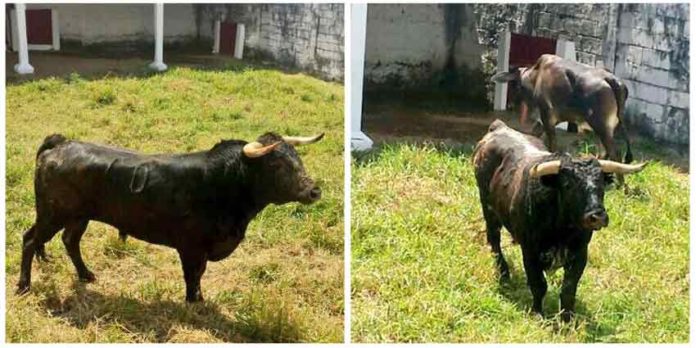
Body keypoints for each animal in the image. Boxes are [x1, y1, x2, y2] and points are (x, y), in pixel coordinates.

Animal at [17, 132, 324, 300]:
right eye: (276, 164)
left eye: (297, 157)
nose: (314, 191)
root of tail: (61, 143)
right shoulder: (191, 247)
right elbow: (193, 275)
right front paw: (195, 301)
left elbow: (198, 273)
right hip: (52, 214)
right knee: (30, 240)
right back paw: (24, 286)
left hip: (78, 216)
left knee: (70, 241)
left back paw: (86, 275)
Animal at [474, 119, 648, 320]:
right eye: (567, 184)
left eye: (601, 184)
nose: (597, 217)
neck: (562, 230)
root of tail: (499, 127)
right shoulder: (530, 252)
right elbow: (538, 285)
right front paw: (538, 314)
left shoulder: (580, 253)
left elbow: (568, 289)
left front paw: (568, 319)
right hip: (488, 207)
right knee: (494, 240)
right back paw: (503, 273)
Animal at [492, 54, 632, 167]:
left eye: (515, 86)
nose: (511, 104)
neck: (535, 77)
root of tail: (612, 79)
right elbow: (535, 135)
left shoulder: (547, 115)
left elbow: (552, 145)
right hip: (604, 129)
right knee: (605, 153)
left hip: (601, 127)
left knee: (615, 154)